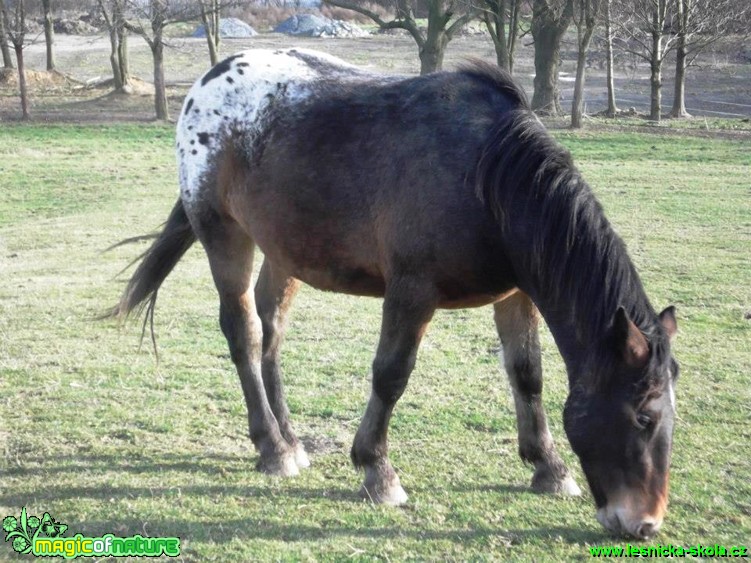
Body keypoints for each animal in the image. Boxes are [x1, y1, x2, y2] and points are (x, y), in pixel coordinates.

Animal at [110, 49, 680, 540]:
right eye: (644, 417)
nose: (646, 523)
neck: (486, 178)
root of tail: (209, 81)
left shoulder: (516, 295)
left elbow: (527, 375)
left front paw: (548, 466)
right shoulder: (411, 292)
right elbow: (391, 375)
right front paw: (376, 471)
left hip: (285, 252)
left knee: (272, 334)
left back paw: (291, 438)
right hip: (224, 235)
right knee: (245, 334)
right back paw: (272, 447)